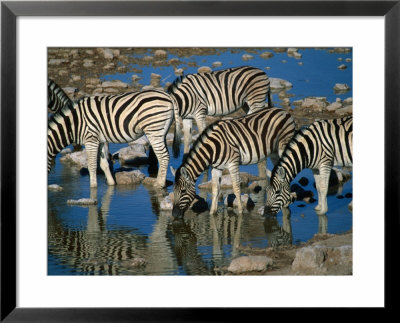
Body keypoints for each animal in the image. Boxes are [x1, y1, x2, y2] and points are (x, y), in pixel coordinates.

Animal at [47, 88, 180, 190]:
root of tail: (168, 96)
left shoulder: (90, 139)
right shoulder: (100, 140)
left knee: (163, 156)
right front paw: (111, 184)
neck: (74, 124)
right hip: (161, 131)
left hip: (154, 129)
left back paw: (159, 185)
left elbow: (92, 165)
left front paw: (93, 187)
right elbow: (104, 164)